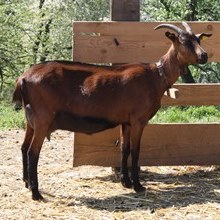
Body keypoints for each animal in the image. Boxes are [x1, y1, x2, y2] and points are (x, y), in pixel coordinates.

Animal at [12, 21, 211, 199]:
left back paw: (27, 183)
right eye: (184, 41)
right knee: (32, 152)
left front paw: (126, 182)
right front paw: (138, 186)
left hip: (30, 120)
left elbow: (124, 148)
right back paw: (36, 193)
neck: (156, 76)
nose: (204, 56)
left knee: (23, 147)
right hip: (43, 119)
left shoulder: (126, 121)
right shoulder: (138, 120)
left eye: (198, 40)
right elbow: (136, 150)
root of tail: (23, 78)